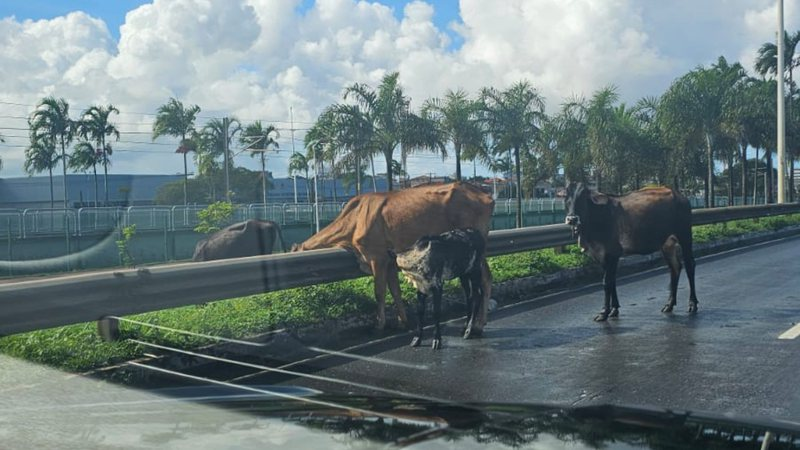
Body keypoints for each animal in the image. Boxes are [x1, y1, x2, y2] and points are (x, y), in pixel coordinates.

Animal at [564, 181, 700, 322]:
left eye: (583, 197)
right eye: (566, 197)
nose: (572, 219)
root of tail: (680, 196)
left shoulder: (612, 253)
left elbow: (607, 282)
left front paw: (604, 312)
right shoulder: (602, 256)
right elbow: (612, 280)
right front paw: (614, 309)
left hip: (685, 235)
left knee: (690, 265)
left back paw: (692, 304)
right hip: (667, 244)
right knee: (675, 268)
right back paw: (669, 304)